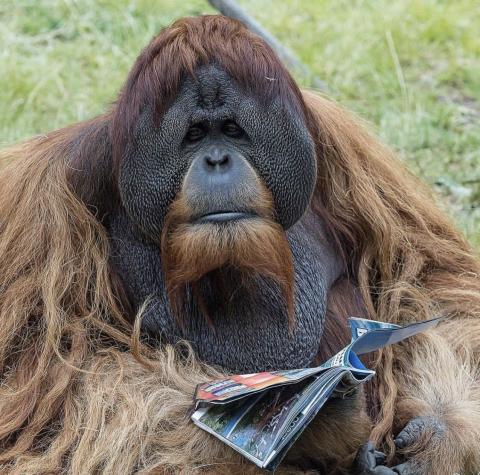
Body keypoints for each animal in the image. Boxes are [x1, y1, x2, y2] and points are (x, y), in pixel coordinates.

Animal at [0, 14, 479, 475]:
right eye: (195, 134)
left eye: (231, 130)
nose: (217, 159)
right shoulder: (42, 203)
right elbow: (51, 389)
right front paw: (313, 419)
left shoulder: (346, 146)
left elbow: (428, 280)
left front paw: (440, 438)